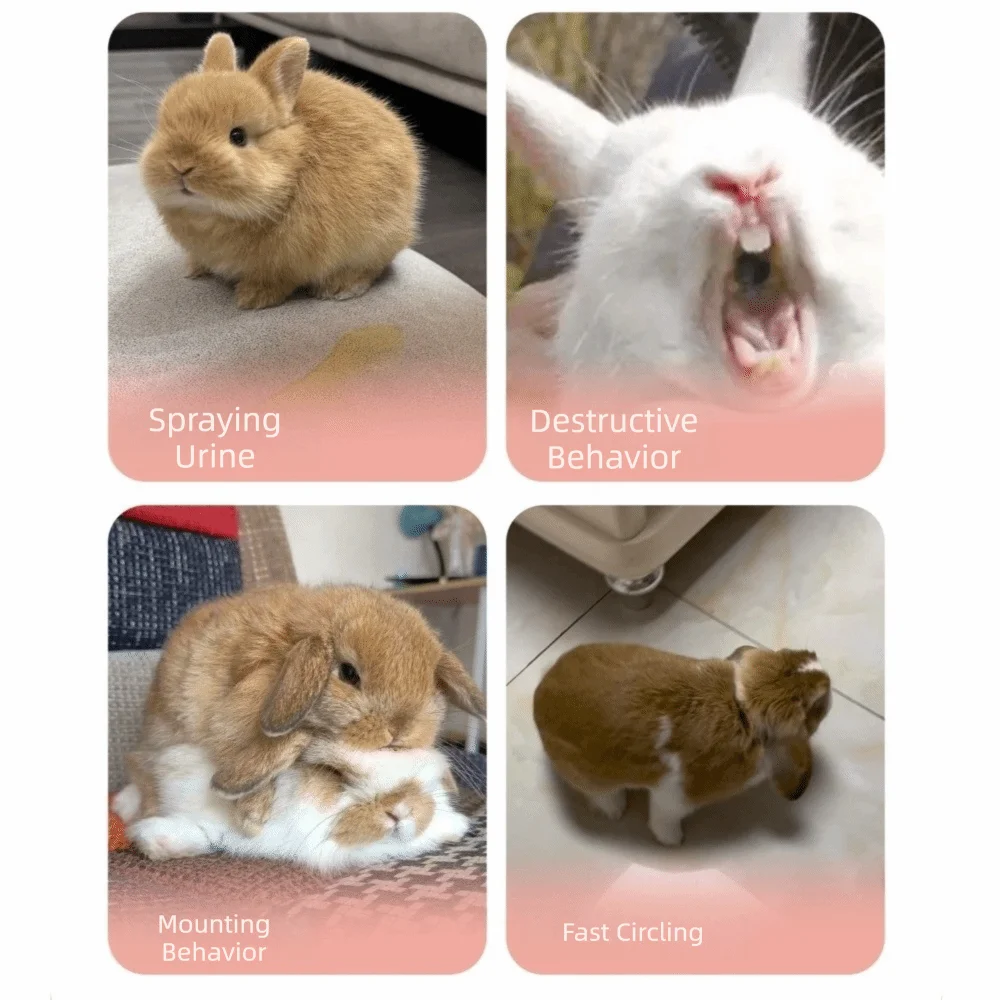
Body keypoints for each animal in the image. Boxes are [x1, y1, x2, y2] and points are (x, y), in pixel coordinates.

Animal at [139, 32, 421, 309]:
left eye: (238, 136)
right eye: (165, 126)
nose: (180, 166)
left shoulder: (288, 264)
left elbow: (278, 282)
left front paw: (251, 299)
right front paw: (193, 269)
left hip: (376, 241)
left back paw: (340, 288)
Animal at [532, 643, 832, 846]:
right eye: (815, 705)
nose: (826, 677)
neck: (743, 707)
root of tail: (539, 697)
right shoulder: (674, 798)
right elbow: (663, 820)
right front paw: (674, 840)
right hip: (594, 778)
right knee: (600, 795)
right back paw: (615, 810)